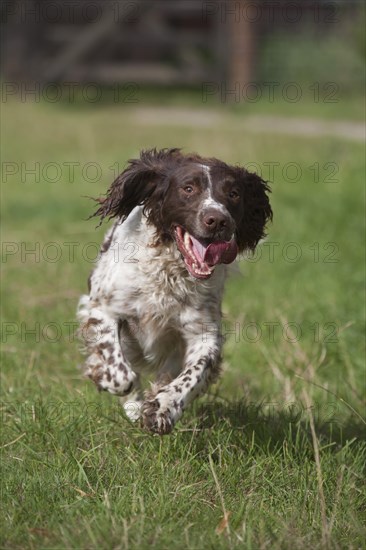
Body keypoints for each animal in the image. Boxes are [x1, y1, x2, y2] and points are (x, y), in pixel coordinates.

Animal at [77, 150, 272, 436]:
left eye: (234, 193)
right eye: (188, 188)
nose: (217, 220)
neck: (170, 272)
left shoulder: (204, 333)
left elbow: (193, 374)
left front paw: (162, 408)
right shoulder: (103, 308)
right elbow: (120, 374)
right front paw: (106, 378)